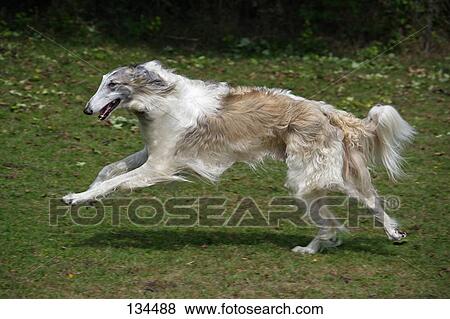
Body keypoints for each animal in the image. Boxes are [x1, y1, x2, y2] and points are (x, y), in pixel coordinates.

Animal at [63, 60, 414, 255]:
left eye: (113, 84)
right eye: (102, 82)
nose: (87, 110)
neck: (161, 100)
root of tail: (325, 110)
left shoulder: (159, 165)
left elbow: (114, 181)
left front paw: (79, 198)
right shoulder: (151, 154)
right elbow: (108, 170)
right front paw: (84, 196)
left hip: (310, 179)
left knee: (355, 209)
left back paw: (387, 234)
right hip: (312, 183)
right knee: (341, 218)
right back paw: (314, 248)